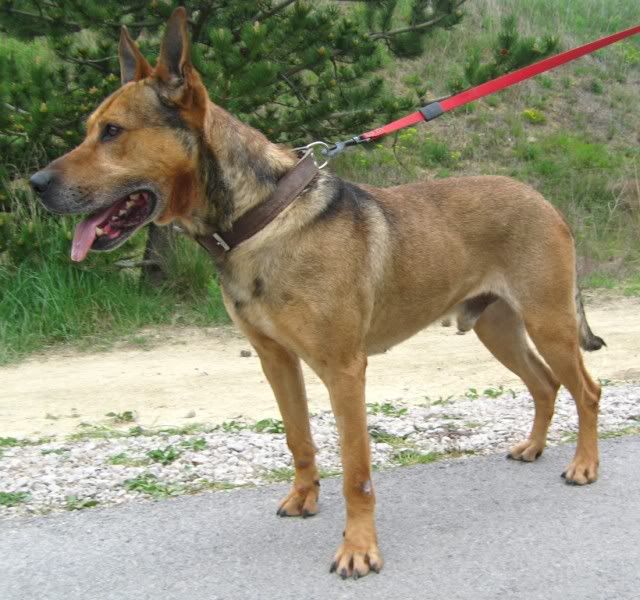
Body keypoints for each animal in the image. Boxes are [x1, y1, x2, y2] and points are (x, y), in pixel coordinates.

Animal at [30, 7, 605, 579]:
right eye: (89, 130)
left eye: (112, 132)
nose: (35, 184)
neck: (260, 219)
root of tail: (545, 201)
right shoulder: (276, 360)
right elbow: (299, 438)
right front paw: (304, 498)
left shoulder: (344, 371)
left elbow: (357, 471)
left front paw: (359, 548)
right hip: (498, 329)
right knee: (546, 385)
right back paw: (534, 447)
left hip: (548, 324)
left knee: (587, 390)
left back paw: (584, 465)